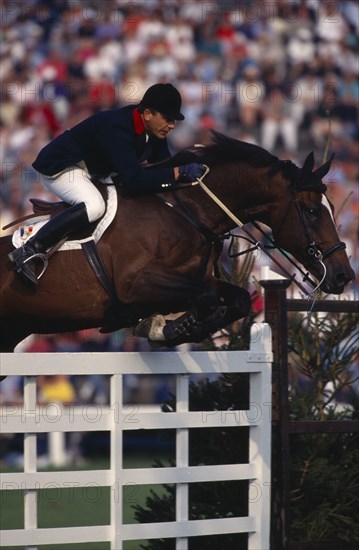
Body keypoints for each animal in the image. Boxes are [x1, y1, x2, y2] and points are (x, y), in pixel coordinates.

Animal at [0, 133, 354, 354]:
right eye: (312, 212)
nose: (343, 276)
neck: (190, 212)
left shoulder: (193, 279)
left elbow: (236, 300)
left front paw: (168, 327)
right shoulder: (136, 284)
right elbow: (207, 296)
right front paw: (166, 329)